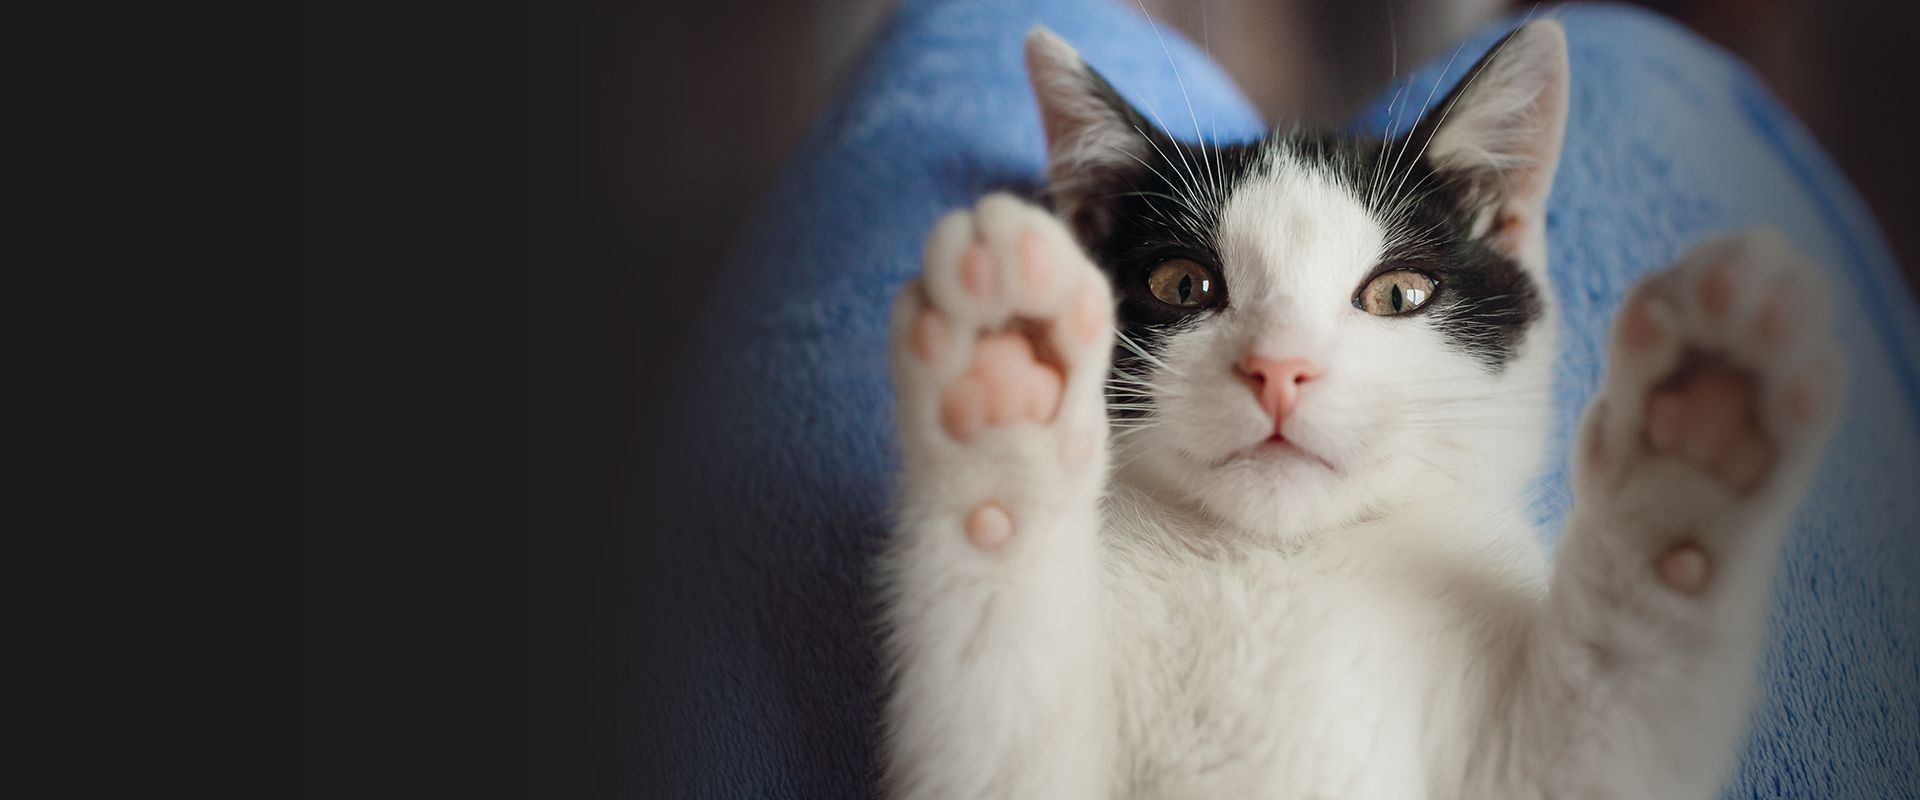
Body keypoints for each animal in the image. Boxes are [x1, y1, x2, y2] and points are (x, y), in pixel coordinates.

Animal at [875, 20, 1843, 798]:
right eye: (1183, 285)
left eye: (1399, 294)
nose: (1280, 368)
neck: (1276, 562)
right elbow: (999, 738)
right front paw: (1003, 385)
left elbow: (1610, 728)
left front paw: (1698, 441)